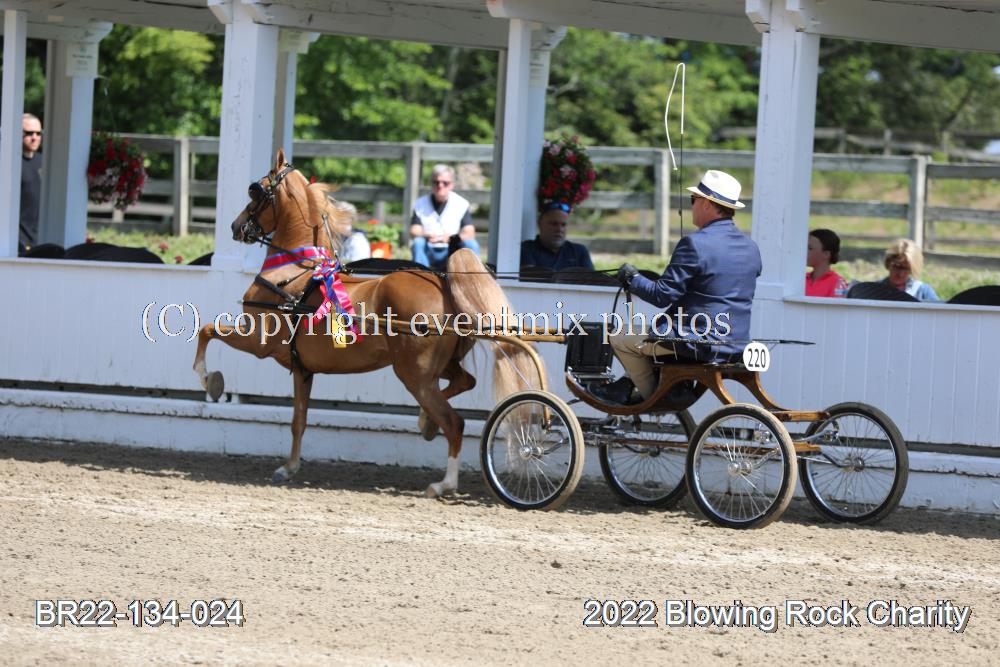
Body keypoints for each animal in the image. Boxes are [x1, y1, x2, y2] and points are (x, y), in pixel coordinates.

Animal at [192, 149, 544, 497]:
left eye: (256, 189)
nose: (236, 226)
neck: (293, 272)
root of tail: (443, 285)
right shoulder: (302, 369)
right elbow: (299, 420)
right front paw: (289, 467)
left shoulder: (258, 341)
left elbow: (207, 330)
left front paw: (209, 379)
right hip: (437, 368)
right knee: (462, 383)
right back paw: (425, 424)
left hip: (414, 373)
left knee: (454, 422)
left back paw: (444, 482)